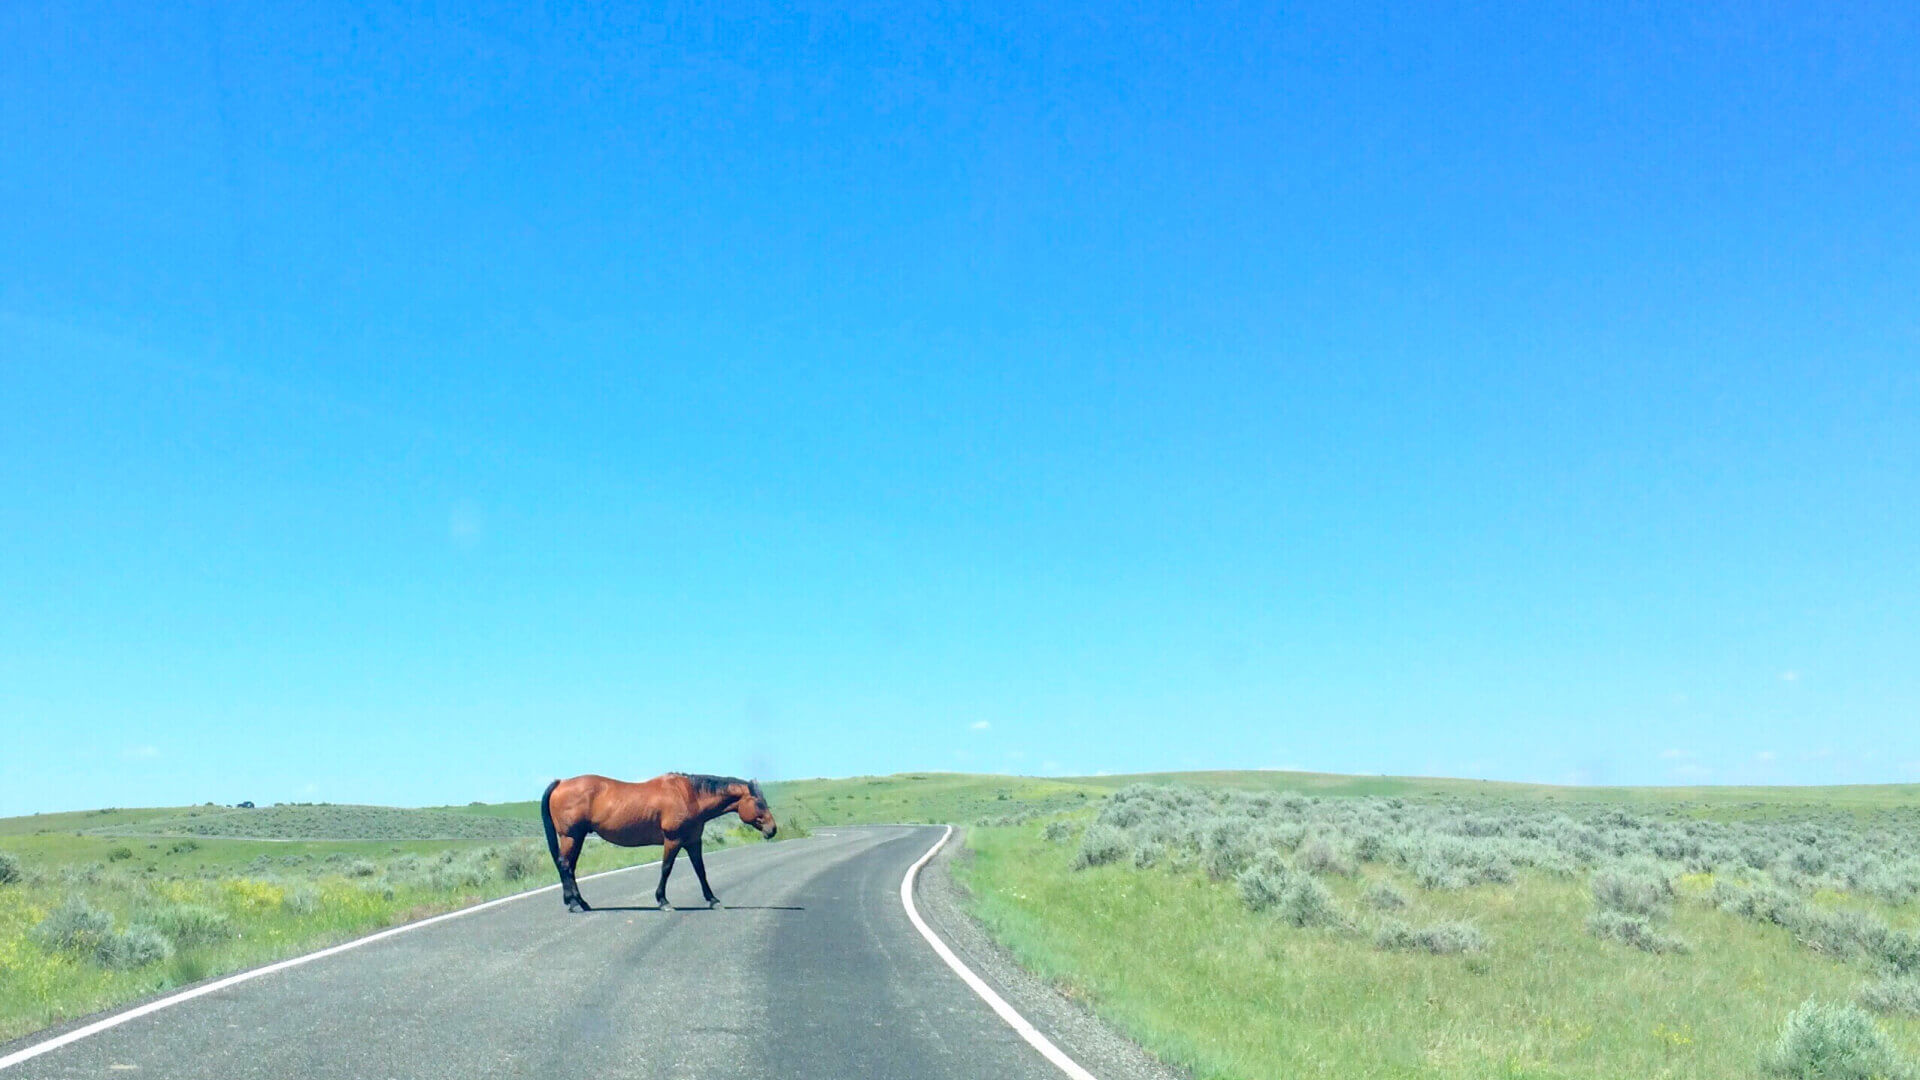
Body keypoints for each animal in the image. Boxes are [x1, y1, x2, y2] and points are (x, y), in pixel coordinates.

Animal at [539, 772, 777, 913]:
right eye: (759, 802)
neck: (689, 795)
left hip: (576, 837)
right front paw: (663, 901)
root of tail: (561, 783)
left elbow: (700, 870)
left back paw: (581, 902)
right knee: (565, 865)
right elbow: (666, 868)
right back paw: (574, 904)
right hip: (571, 836)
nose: (772, 829)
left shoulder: (693, 841)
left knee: (569, 867)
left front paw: (713, 900)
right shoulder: (673, 840)